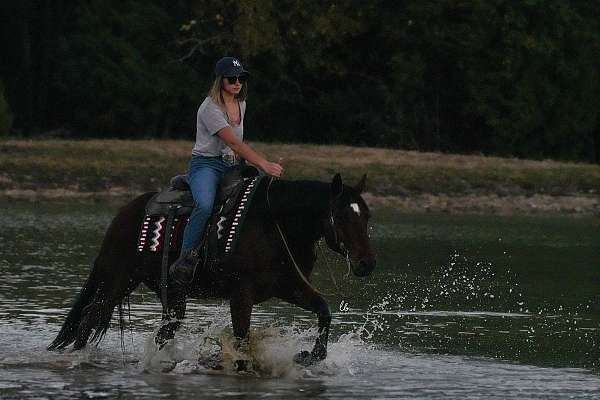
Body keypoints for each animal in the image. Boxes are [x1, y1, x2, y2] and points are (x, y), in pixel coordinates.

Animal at [48, 173, 376, 368]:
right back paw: (78, 358)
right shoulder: (241, 295)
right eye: (341, 216)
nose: (367, 264)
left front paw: (310, 355)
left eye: (367, 215)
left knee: (164, 330)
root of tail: (123, 214)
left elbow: (323, 310)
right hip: (118, 278)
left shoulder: (288, 286)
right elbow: (242, 339)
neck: (274, 224)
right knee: (90, 317)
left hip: (170, 293)